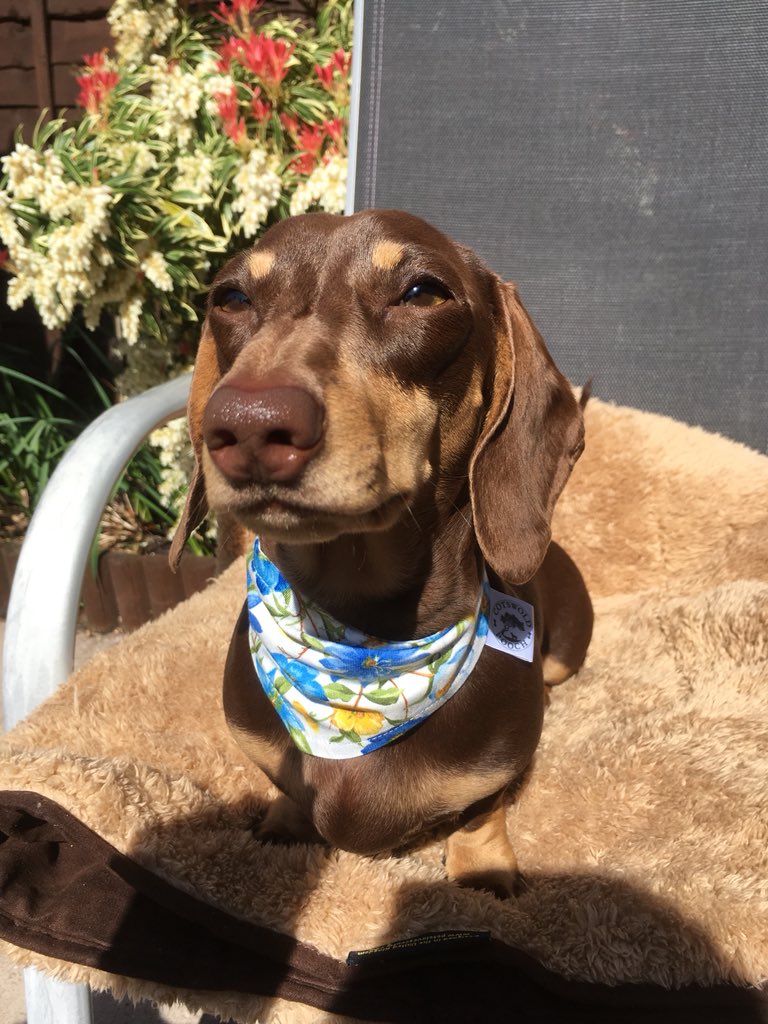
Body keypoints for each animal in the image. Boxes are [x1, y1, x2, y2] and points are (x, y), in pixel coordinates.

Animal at [171, 207, 593, 897]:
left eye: (423, 293)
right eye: (230, 298)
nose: (249, 425)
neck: (363, 643)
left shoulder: (495, 773)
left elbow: (482, 808)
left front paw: (483, 872)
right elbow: (284, 787)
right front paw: (283, 824)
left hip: (563, 652)